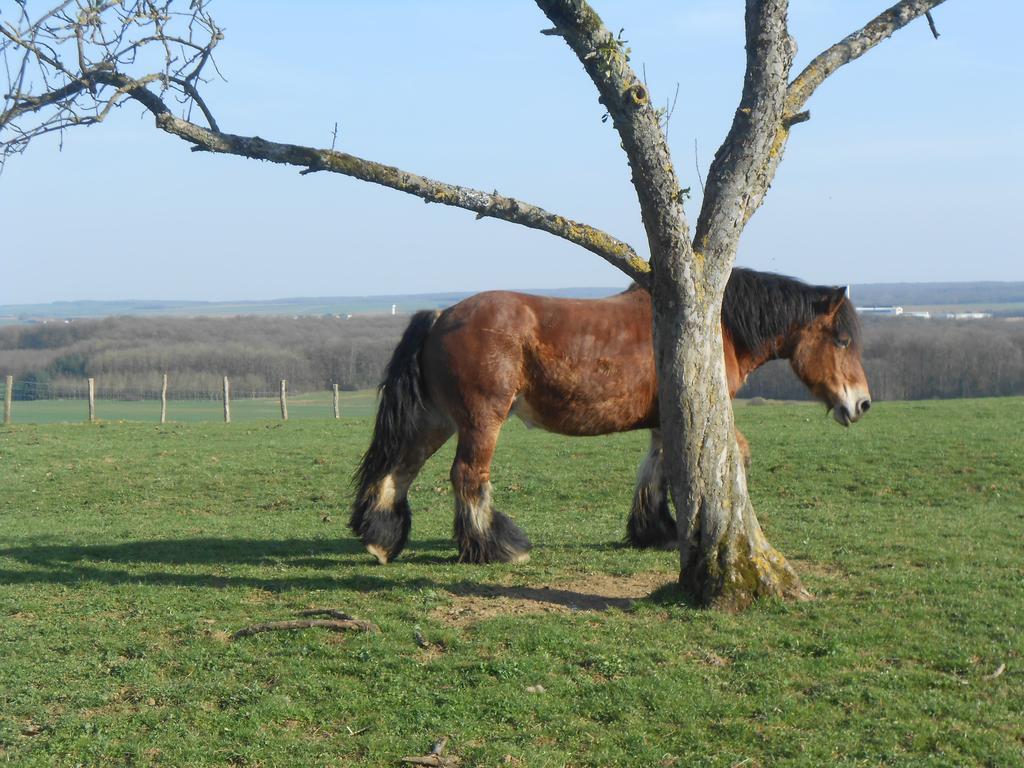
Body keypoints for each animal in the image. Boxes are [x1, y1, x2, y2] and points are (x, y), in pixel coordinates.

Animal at [352, 270, 872, 565]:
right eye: (842, 339)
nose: (862, 404)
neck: (708, 328)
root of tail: (441, 316)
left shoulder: (664, 421)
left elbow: (656, 472)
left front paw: (655, 532)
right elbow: (732, 455)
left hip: (437, 419)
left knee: (399, 468)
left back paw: (380, 539)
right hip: (481, 421)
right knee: (467, 476)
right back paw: (497, 548)